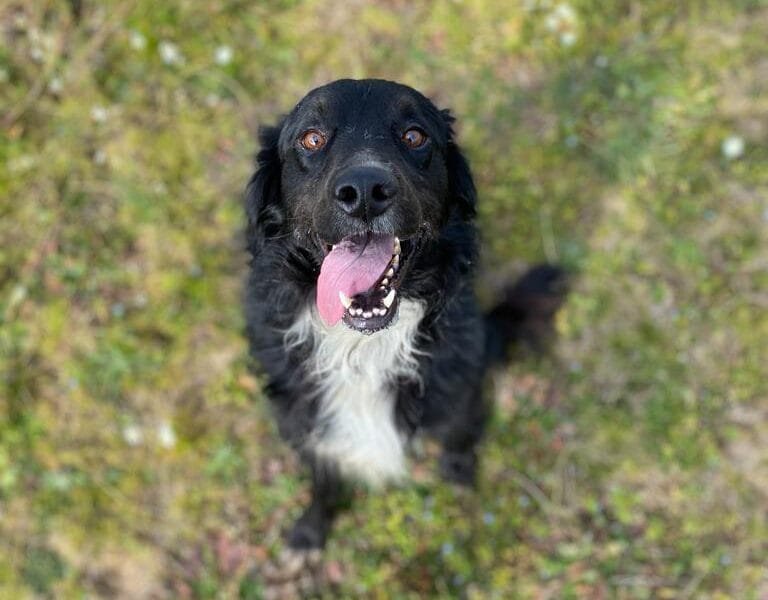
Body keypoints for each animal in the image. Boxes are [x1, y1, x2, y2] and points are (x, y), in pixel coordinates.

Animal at [246, 79, 564, 552]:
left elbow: (458, 431)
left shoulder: (455, 386)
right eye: (312, 139)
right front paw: (312, 527)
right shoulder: (306, 420)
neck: (363, 349)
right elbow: (323, 477)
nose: (364, 191)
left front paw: (458, 471)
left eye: (414, 136)